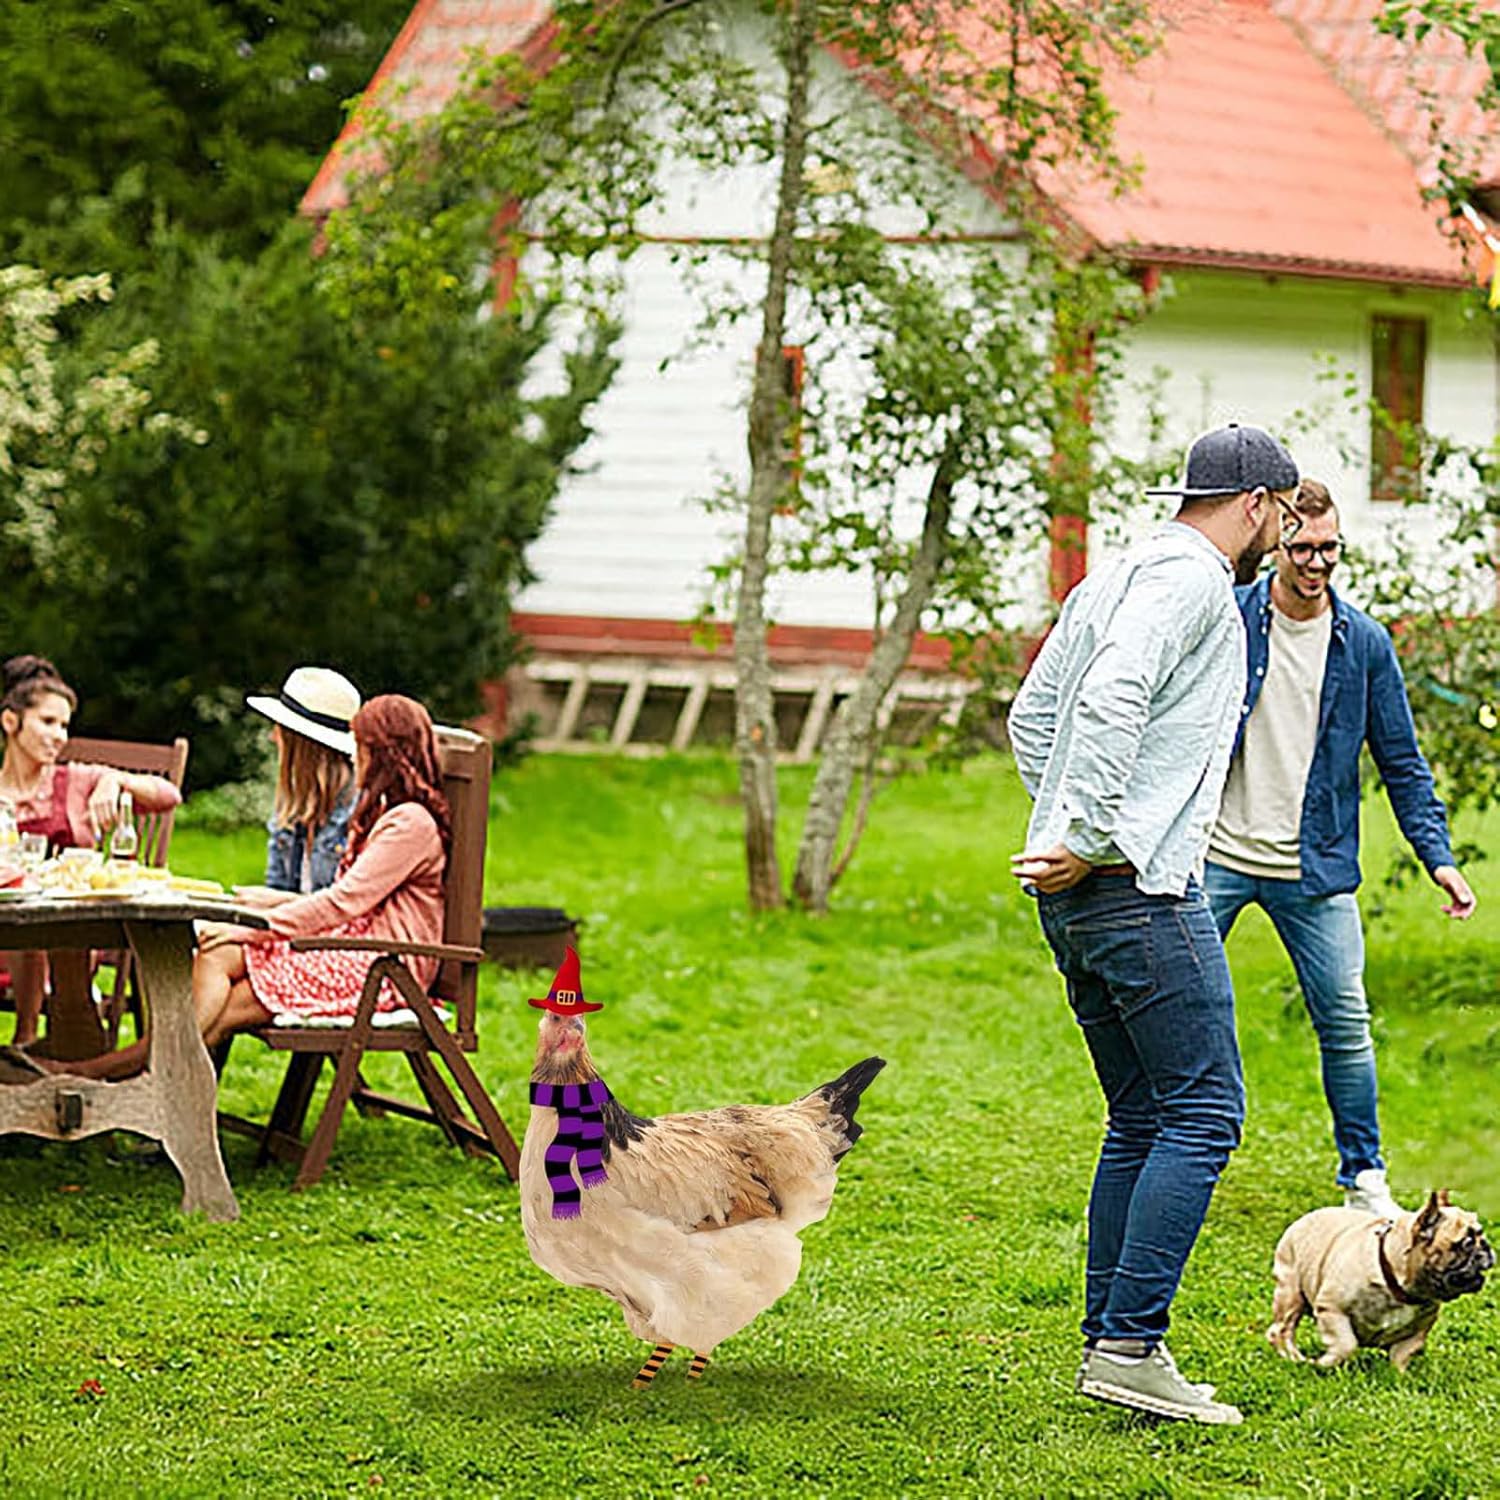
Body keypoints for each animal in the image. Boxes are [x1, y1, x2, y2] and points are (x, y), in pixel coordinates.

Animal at [1267, 1191, 1493, 1370]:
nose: (1486, 1246)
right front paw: (1325, 1364)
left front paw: (1398, 1376)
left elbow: (1402, 1354)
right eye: (1467, 1242)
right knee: (1282, 1329)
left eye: (1481, 1236)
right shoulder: (1332, 1308)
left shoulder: (1418, 1331)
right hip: (1291, 1294)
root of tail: (1302, 1220)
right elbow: (1345, 1344)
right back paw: (1293, 1357)